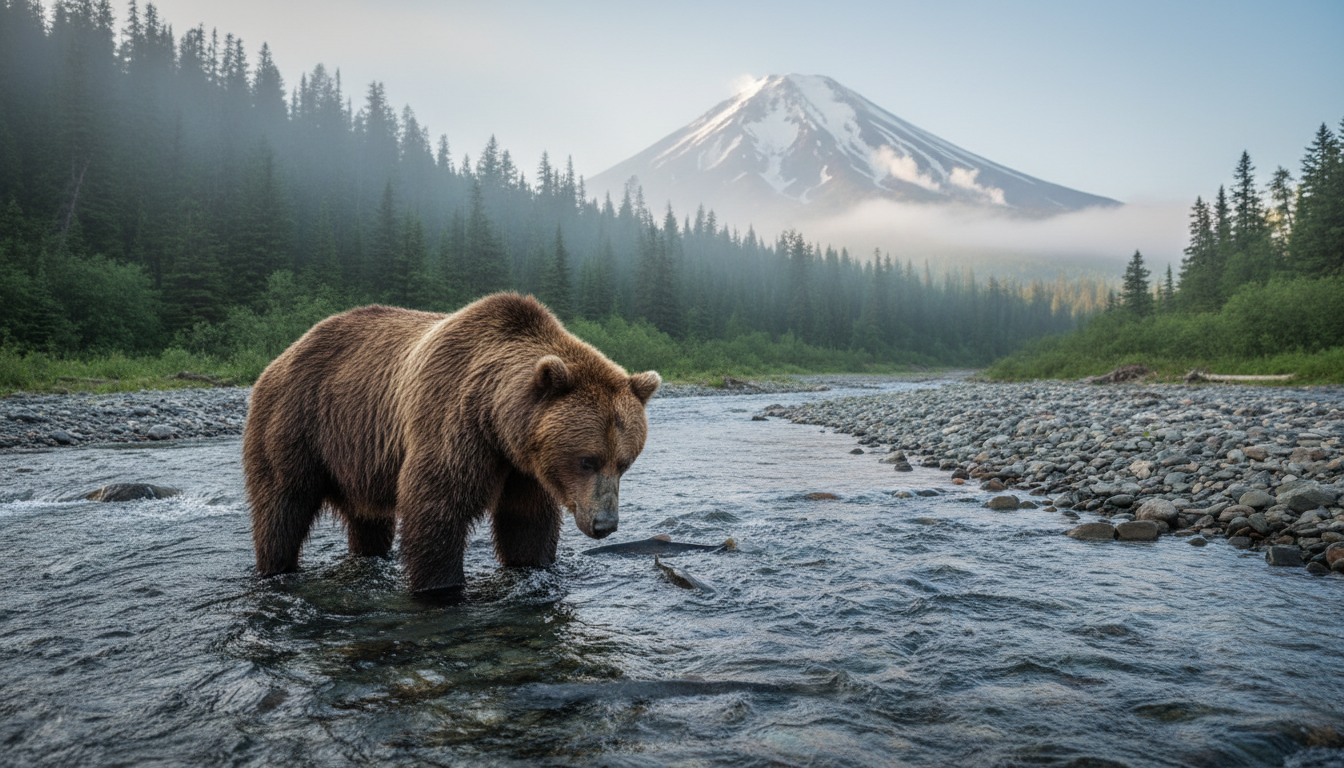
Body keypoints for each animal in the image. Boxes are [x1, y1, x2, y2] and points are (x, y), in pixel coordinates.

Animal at [242, 293, 660, 595]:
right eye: (587, 460)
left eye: (624, 462)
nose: (605, 524)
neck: (500, 426)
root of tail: (285, 352)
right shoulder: (452, 424)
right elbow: (436, 509)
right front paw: (440, 587)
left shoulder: (525, 470)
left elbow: (527, 524)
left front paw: (530, 561)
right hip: (297, 423)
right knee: (282, 506)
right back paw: (275, 568)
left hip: (358, 456)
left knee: (368, 519)